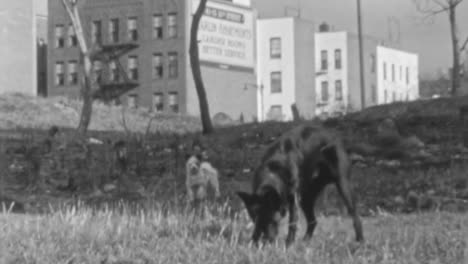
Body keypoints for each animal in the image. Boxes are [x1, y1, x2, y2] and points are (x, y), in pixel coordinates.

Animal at [236, 125, 364, 246]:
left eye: (273, 220)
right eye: (255, 219)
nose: (268, 240)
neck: (272, 172)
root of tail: (337, 139)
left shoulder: (293, 200)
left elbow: (292, 224)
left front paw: (288, 246)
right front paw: (254, 242)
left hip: (343, 186)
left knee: (355, 217)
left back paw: (360, 241)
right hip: (306, 197)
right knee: (313, 221)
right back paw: (305, 241)